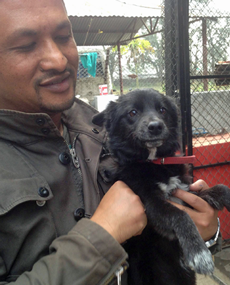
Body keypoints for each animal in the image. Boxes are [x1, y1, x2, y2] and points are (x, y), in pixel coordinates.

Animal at [92, 89, 230, 284]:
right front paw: (199, 253)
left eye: (162, 110)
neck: (155, 163)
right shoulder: (150, 204)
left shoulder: (185, 193)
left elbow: (221, 188)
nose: (155, 126)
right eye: (132, 112)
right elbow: (181, 216)